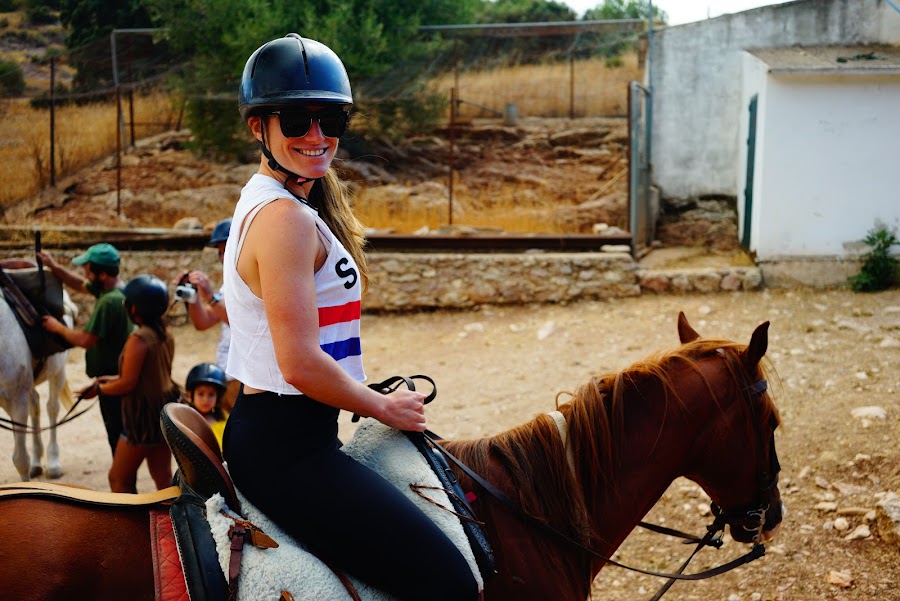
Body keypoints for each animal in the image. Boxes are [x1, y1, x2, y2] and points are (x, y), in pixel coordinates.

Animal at [0, 288, 76, 480]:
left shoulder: (17, 400)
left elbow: (20, 460)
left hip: (58, 372)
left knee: (52, 408)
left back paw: (53, 463)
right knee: (35, 404)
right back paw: (36, 462)